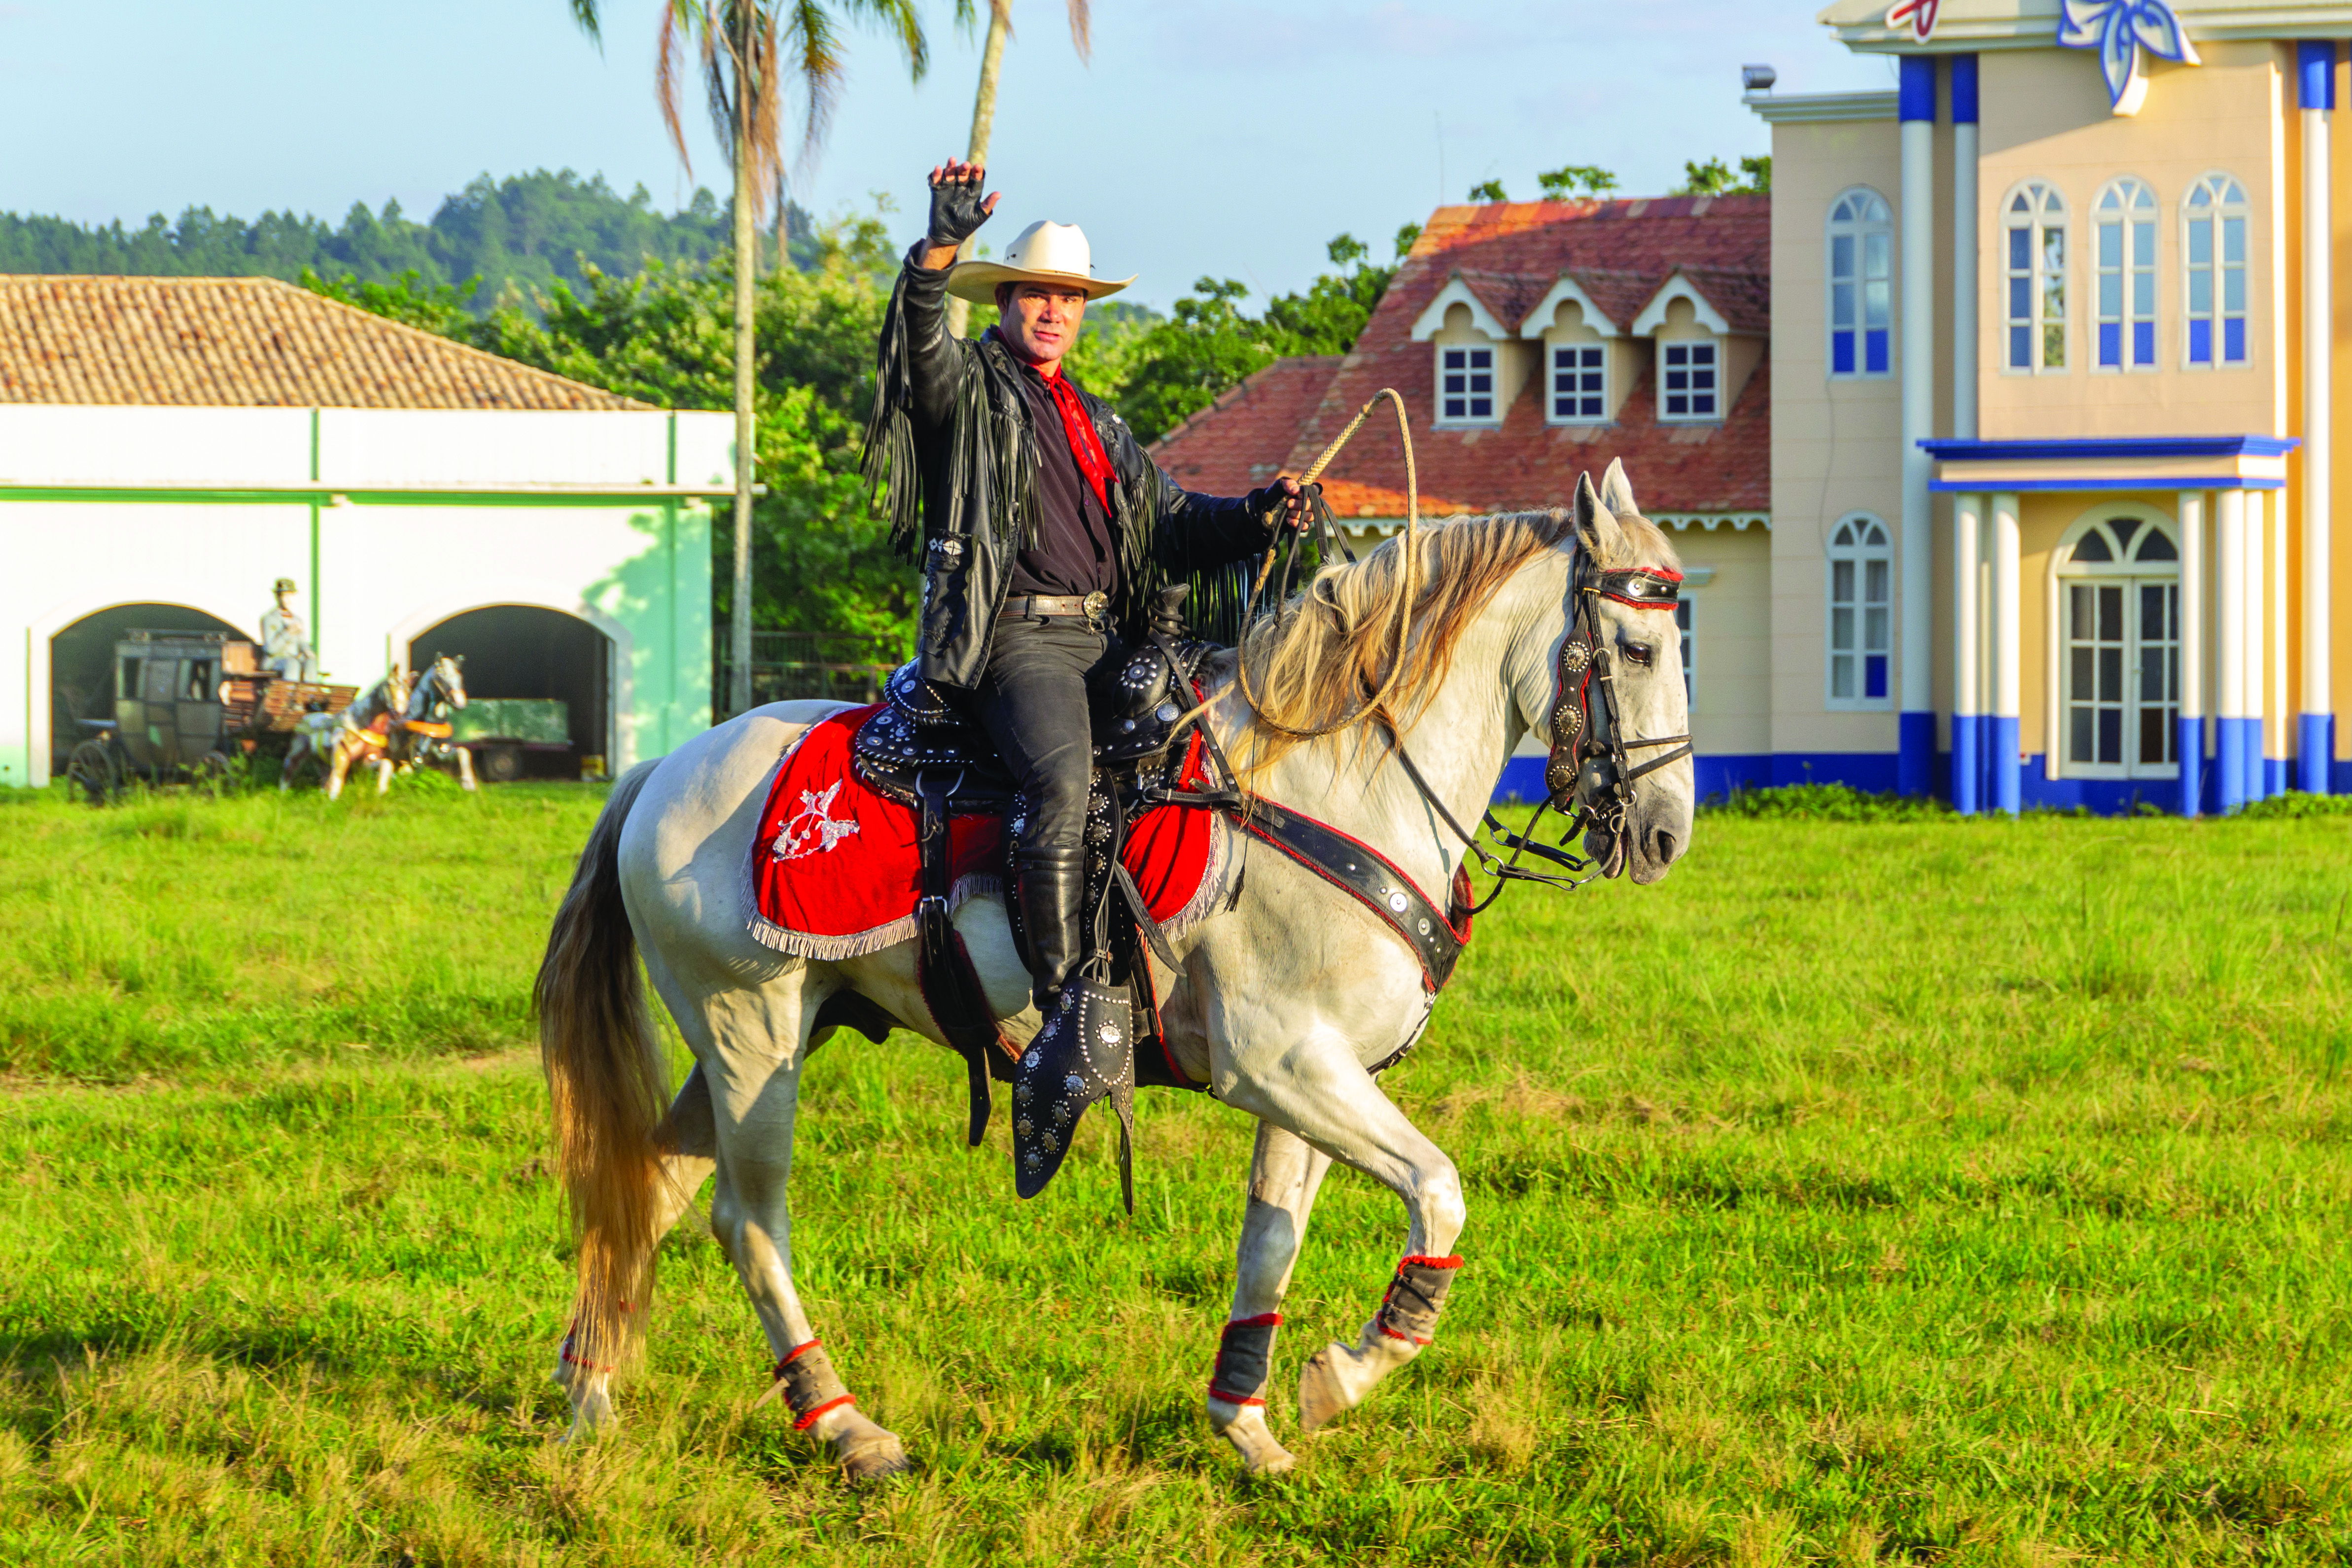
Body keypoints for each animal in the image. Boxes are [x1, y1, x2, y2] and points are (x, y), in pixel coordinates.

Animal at [538, 463, 1693, 1486]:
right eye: (1636, 646)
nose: (1665, 835)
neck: (1332, 781)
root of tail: (662, 770)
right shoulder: (1280, 1065)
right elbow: (1440, 1193)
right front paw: (1348, 1372)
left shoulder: (1318, 1079)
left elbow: (1270, 1243)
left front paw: (1250, 1425)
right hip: (754, 1038)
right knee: (747, 1220)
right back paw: (844, 1427)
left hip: (766, 1037)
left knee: (651, 1186)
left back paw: (591, 1395)